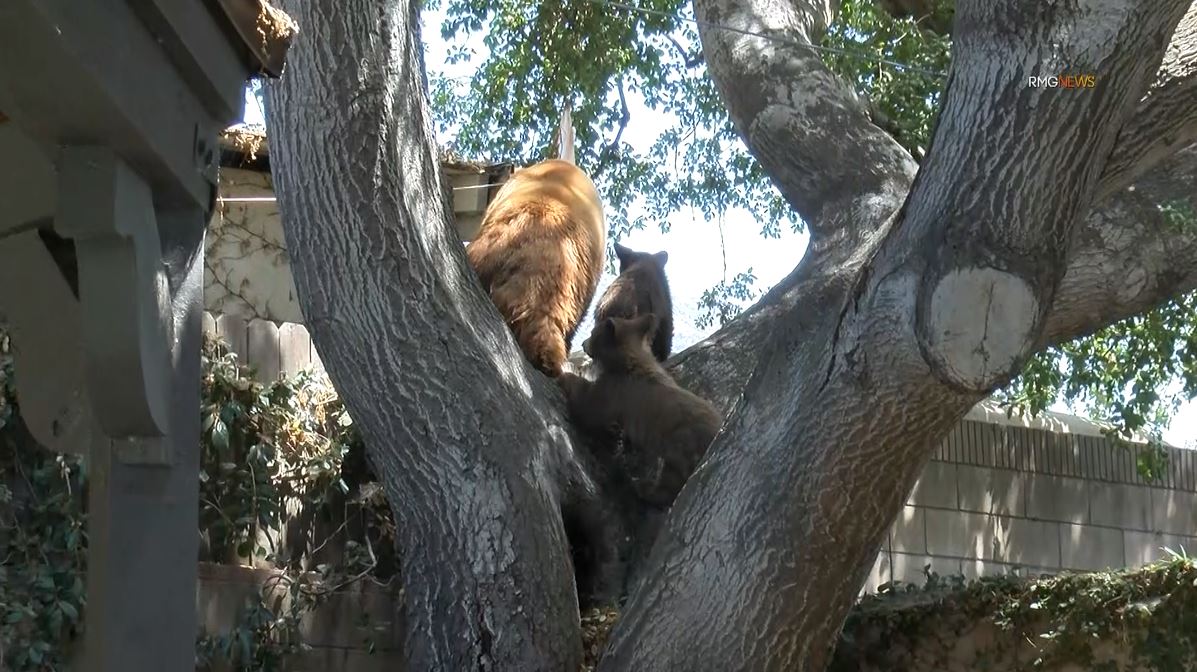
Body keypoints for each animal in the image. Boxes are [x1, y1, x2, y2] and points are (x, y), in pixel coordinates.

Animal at [557, 313, 718, 507]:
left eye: (592, 333)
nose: (582, 343)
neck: (633, 357)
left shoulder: (615, 389)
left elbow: (588, 406)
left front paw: (566, 370)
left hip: (681, 447)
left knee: (670, 480)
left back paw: (645, 490)